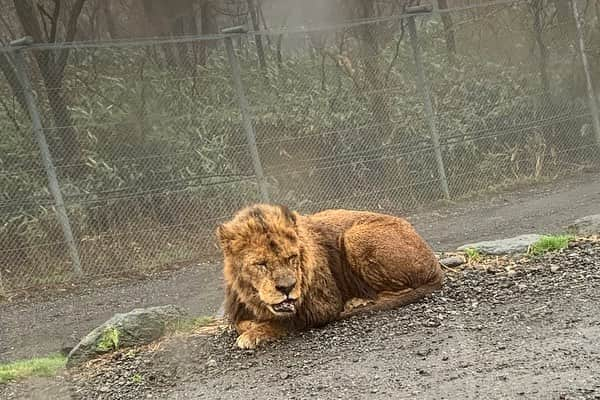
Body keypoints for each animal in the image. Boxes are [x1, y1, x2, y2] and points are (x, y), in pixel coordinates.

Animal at [218, 205, 442, 348]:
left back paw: (357, 302)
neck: (254, 298)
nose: (287, 288)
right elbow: (241, 324)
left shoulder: (323, 307)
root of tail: (436, 265)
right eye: (261, 264)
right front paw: (251, 326)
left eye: (292, 258)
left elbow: (283, 322)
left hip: (354, 235)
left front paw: (252, 335)